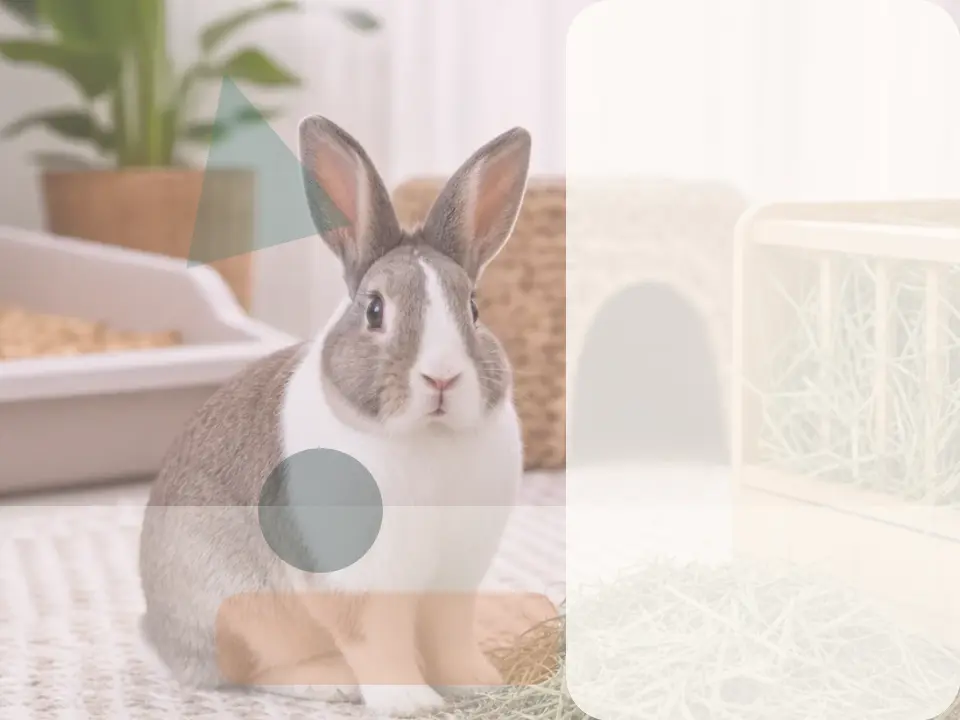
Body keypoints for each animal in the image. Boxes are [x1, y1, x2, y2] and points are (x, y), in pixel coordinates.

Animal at [138, 115, 532, 717]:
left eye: (473, 308)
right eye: (374, 310)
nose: (442, 378)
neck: (428, 437)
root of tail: (158, 634)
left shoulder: (454, 580)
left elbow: (449, 636)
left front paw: (480, 684)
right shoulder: (361, 585)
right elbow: (377, 640)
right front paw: (412, 702)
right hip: (243, 612)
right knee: (251, 670)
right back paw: (332, 681)